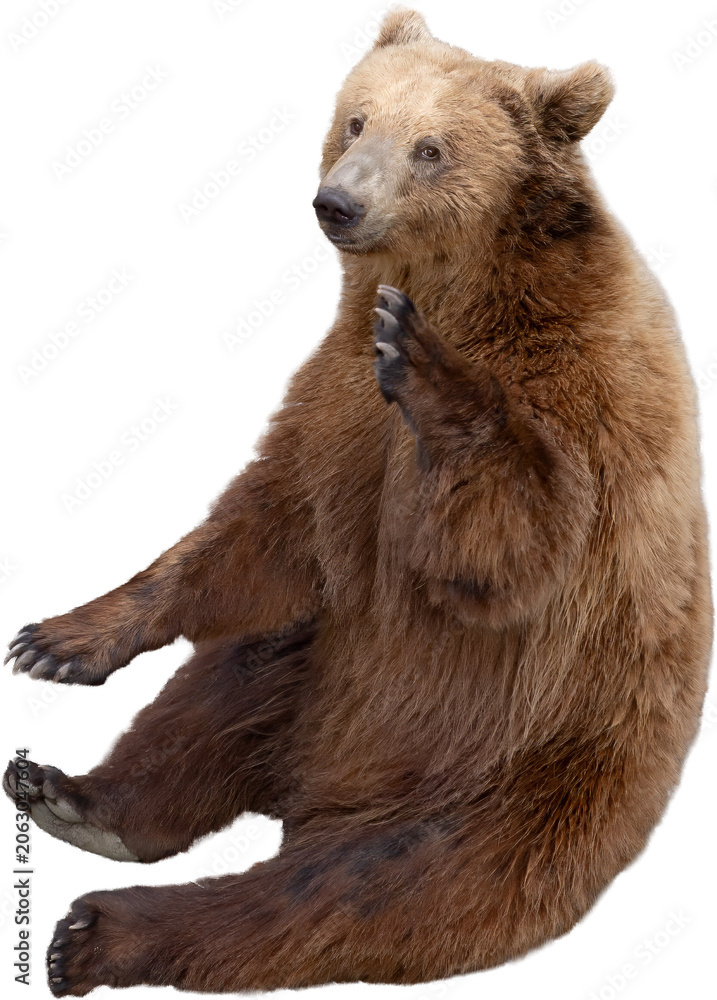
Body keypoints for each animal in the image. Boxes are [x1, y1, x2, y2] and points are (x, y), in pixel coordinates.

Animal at [3, 6, 712, 996]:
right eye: (355, 121)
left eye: (431, 147)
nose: (335, 203)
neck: (465, 287)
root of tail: (320, 790)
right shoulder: (334, 414)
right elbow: (264, 527)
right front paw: (56, 640)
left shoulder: (583, 400)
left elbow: (506, 549)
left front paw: (425, 365)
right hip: (327, 660)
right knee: (225, 685)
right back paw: (77, 799)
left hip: (511, 780)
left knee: (343, 896)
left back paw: (99, 932)